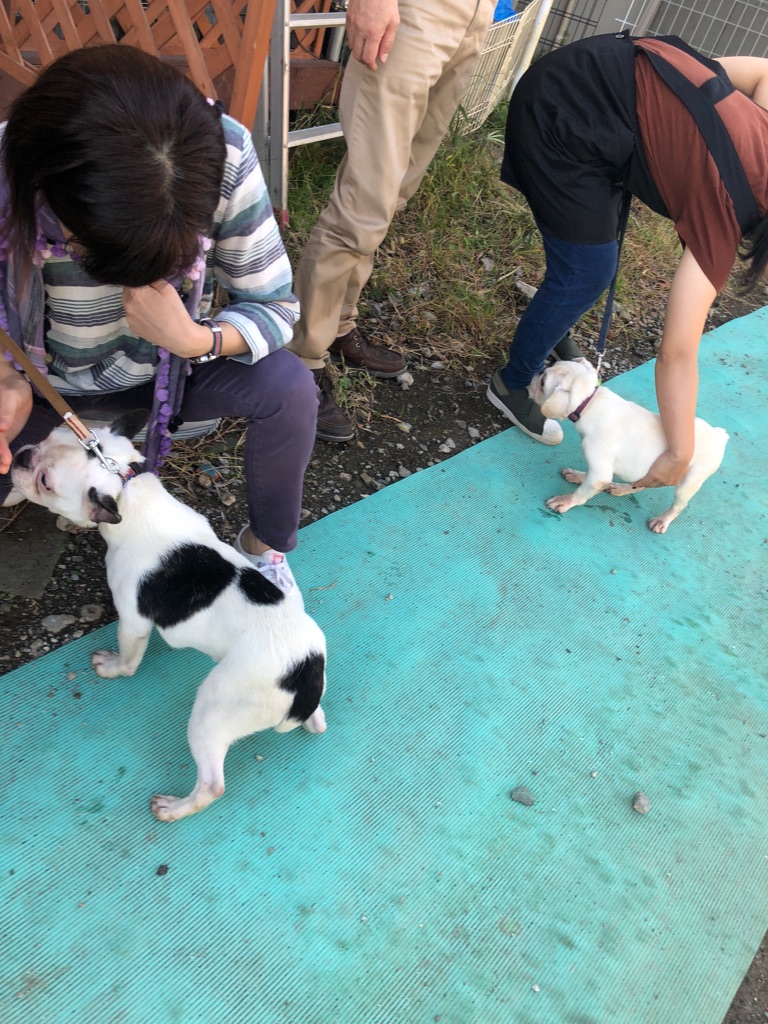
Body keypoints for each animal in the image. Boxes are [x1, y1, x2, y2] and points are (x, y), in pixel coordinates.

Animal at [11, 413, 327, 822]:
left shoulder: (132, 620)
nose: (20, 456)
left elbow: (129, 658)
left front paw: (114, 667)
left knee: (211, 783)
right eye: (49, 435)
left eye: (45, 482)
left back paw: (175, 808)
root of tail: (305, 672)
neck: (128, 488)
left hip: (214, 708)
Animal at [528, 358, 729, 533]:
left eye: (543, 382)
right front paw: (578, 476)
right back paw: (620, 488)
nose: (539, 371)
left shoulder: (599, 472)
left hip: (689, 482)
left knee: (678, 505)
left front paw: (565, 501)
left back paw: (662, 520)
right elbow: (590, 479)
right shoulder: (600, 470)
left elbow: (582, 492)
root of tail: (719, 436)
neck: (590, 401)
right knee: (641, 484)